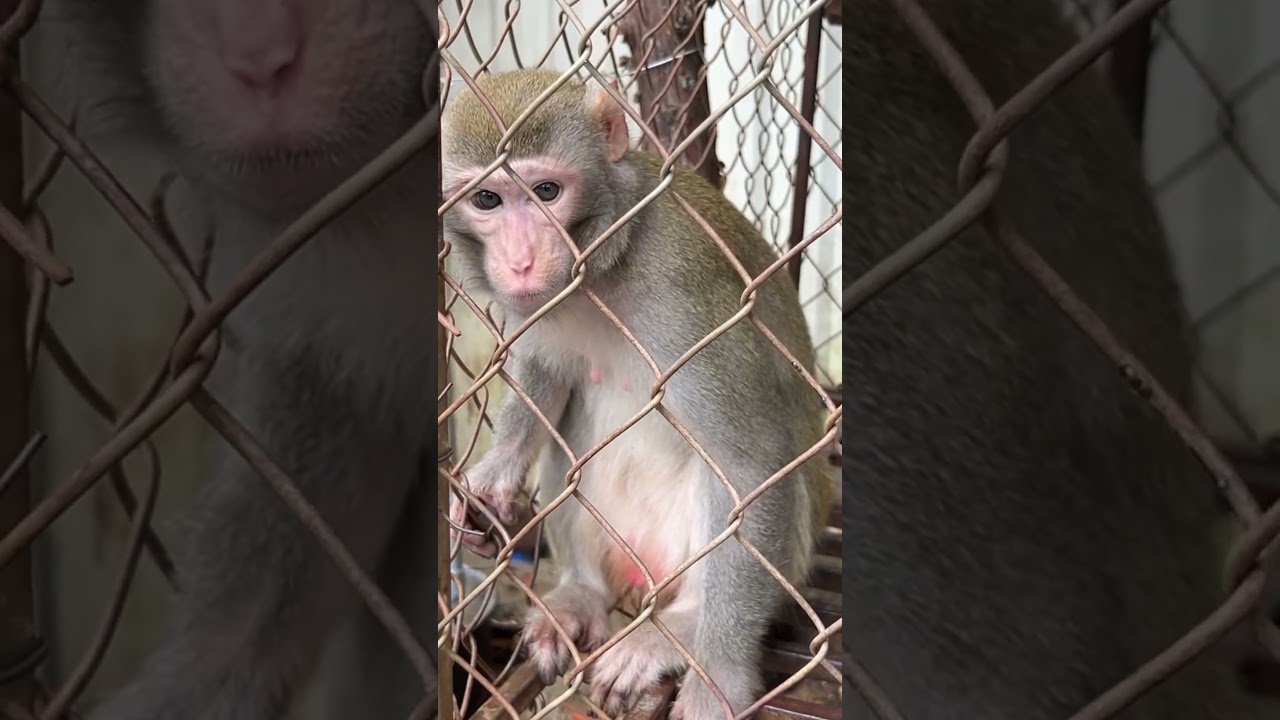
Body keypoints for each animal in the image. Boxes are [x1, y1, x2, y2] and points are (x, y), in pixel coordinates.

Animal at [440, 69, 836, 719]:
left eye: (546, 191)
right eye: (488, 201)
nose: (520, 262)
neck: (599, 272)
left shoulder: (684, 297)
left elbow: (750, 468)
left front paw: (719, 679)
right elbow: (545, 378)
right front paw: (493, 480)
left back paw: (683, 625)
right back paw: (582, 594)